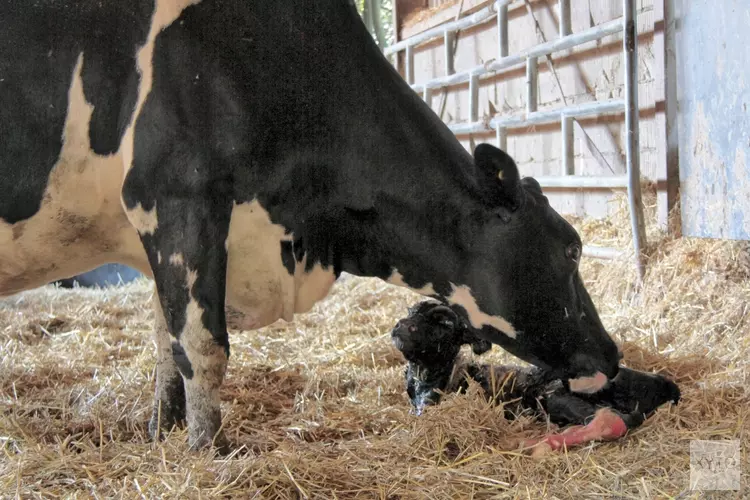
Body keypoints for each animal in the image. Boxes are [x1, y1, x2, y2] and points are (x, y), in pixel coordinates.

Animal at [0, 0, 624, 452]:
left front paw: (161, 435)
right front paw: (204, 453)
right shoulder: (179, 195)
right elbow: (203, 346)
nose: (612, 355)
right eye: (571, 248)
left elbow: (167, 344)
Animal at [394, 302, 680, 456]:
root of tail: (664, 384)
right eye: (410, 312)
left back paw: (525, 443)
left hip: (554, 395)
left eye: (444, 325)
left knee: (612, 420)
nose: (400, 326)